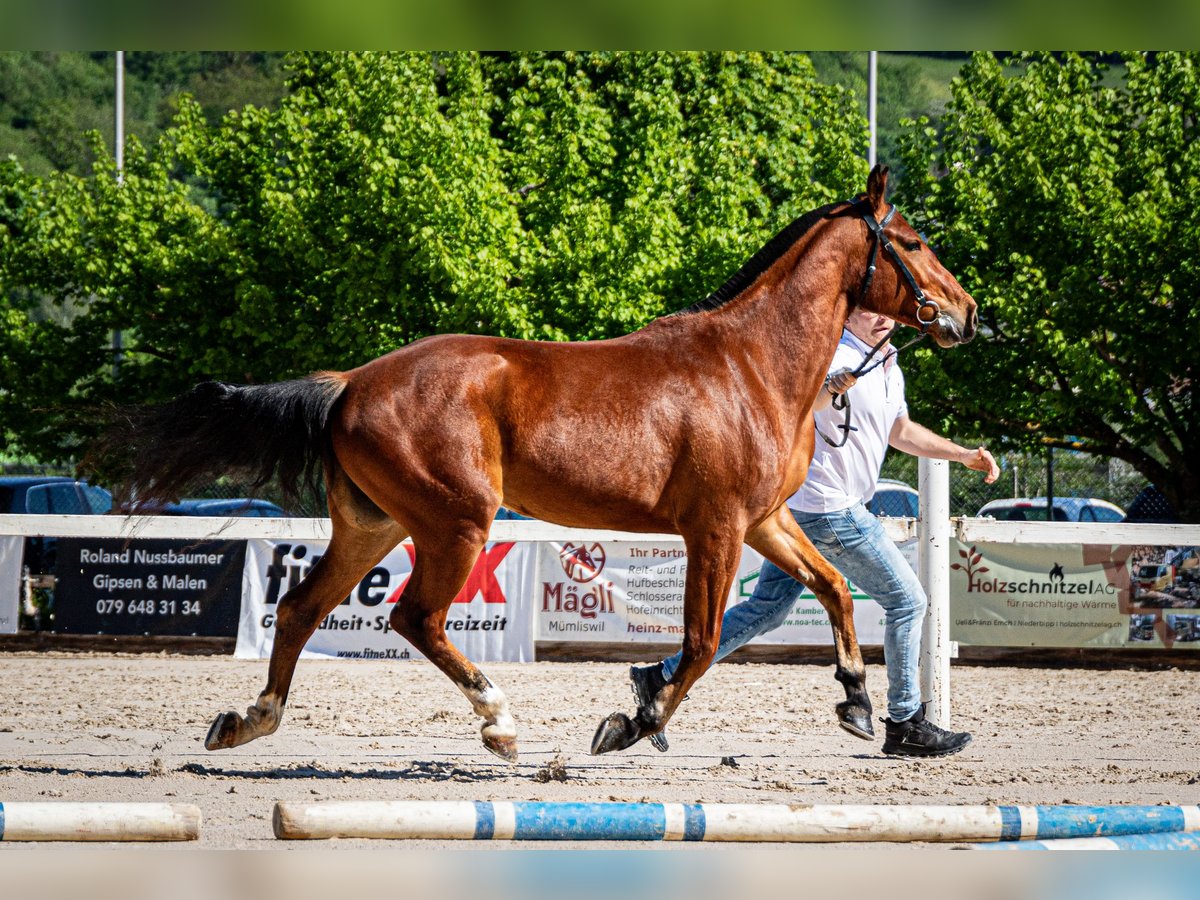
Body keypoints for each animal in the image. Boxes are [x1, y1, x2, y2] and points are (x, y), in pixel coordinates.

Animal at [91, 164, 974, 763]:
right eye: (915, 243)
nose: (967, 315)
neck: (749, 365)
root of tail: (350, 384)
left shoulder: (765, 520)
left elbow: (832, 589)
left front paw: (858, 703)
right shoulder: (716, 527)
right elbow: (699, 639)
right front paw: (632, 722)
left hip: (374, 527)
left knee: (304, 607)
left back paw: (251, 720)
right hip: (456, 524)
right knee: (414, 619)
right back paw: (500, 722)